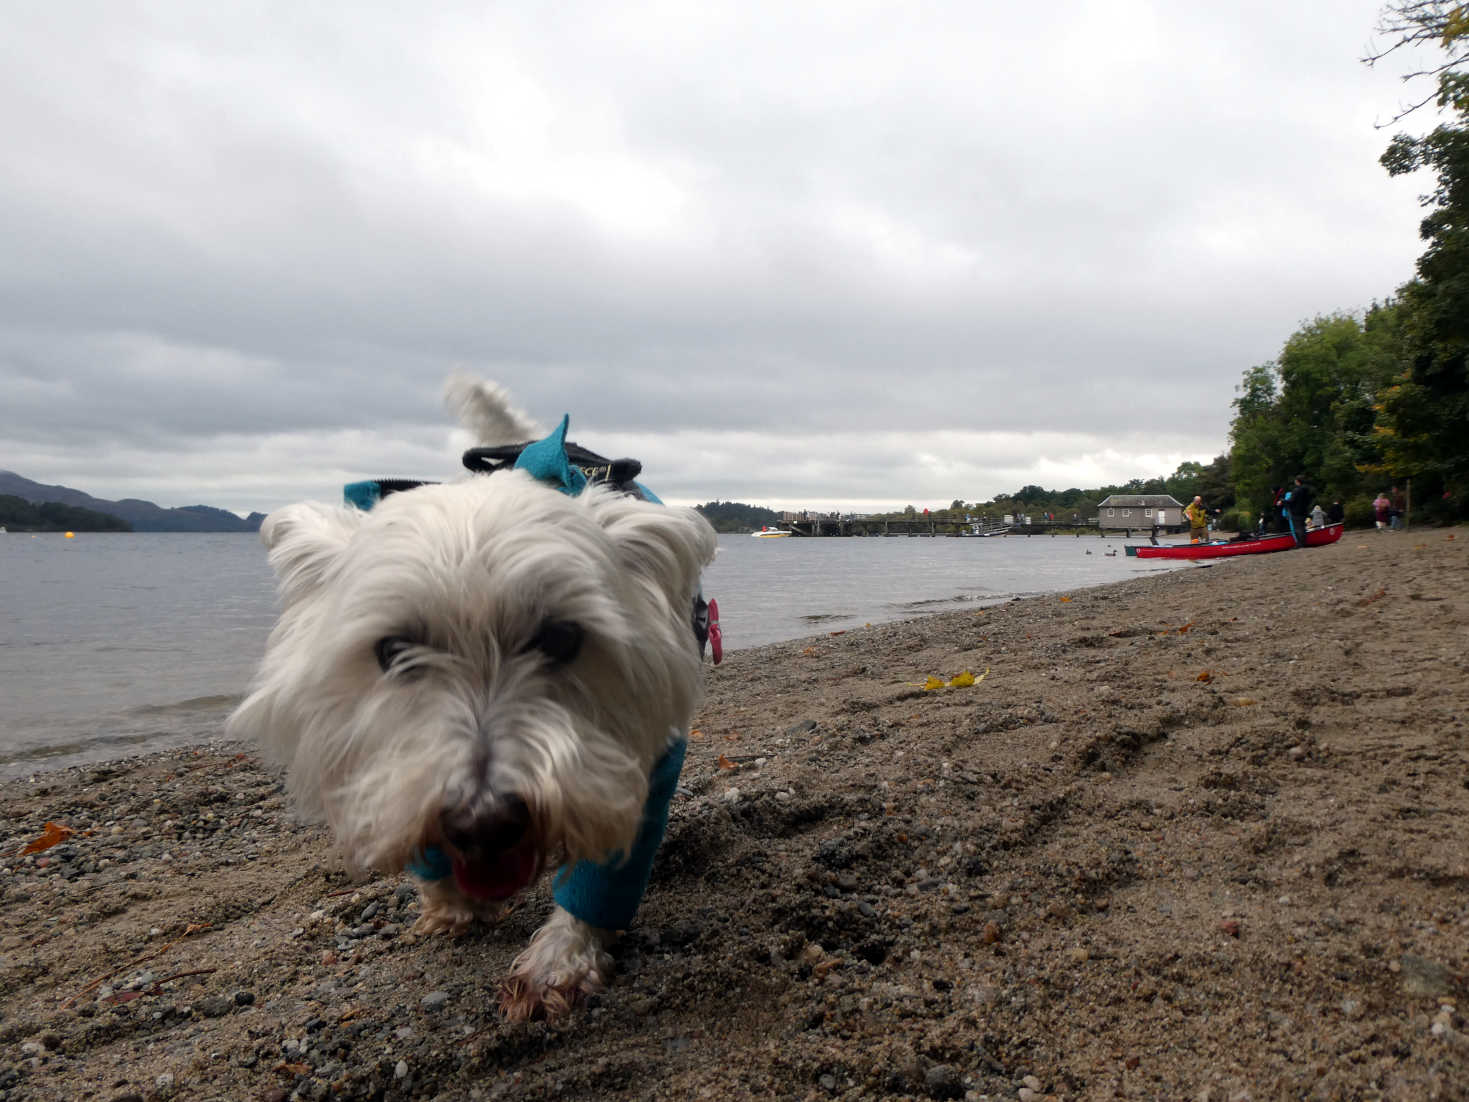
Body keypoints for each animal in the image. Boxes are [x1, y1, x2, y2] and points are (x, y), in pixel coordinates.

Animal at [221, 379, 716, 1016]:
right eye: (393, 650)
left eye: (562, 637)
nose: (484, 824)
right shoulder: (400, 765)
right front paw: (451, 907)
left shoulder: (645, 757)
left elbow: (606, 869)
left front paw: (560, 960)